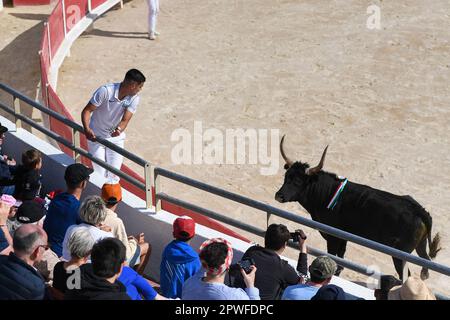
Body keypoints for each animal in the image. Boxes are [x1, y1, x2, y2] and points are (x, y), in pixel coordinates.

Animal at [274, 135, 440, 280]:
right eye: (286, 176)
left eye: (298, 182)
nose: (278, 196)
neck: (326, 193)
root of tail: (419, 210)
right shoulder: (343, 236)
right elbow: (341, 257)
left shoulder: (333, 236)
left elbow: (333, 254)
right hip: (420, 245)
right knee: (426, 261)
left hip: (400, 255)